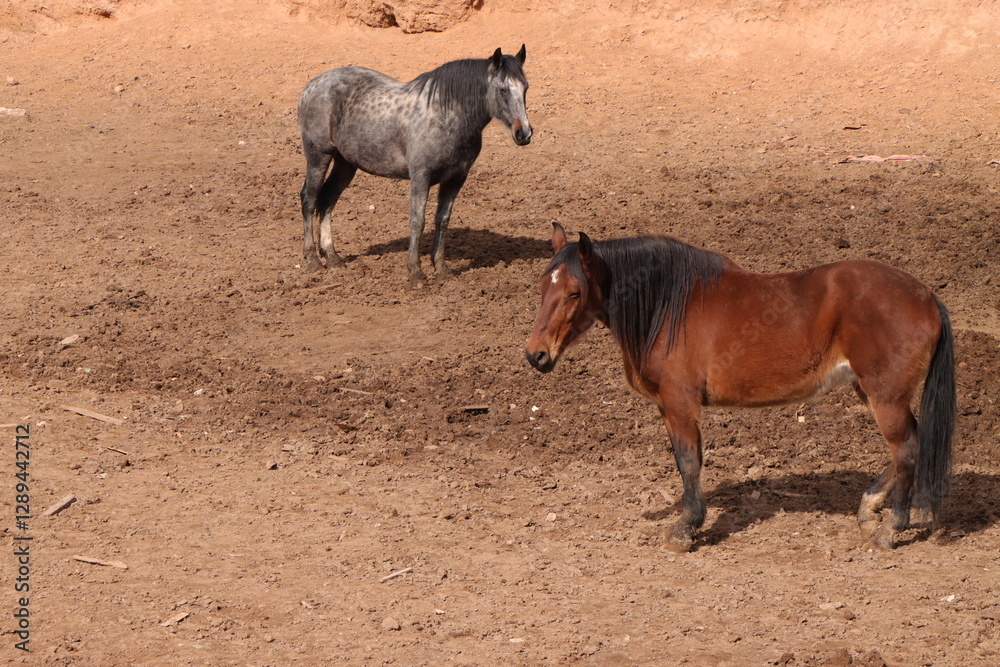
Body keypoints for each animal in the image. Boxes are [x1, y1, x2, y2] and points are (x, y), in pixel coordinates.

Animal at [297, 46, 532, 287]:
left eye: (525, 87)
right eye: (502, 89)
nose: (523, 133)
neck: (447, 115)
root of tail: (312, 85)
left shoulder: (455, 179)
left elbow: (442, 220)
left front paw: (441, 269)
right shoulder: (421, 177)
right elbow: (418, 221)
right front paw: (416, 273)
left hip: (346, 165)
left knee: (327, 201)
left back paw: (332, 257)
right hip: (319, 157)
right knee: (309, 199)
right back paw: (313, 260)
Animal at [525, 223, 956, 553]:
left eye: (574, 292)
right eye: (543, 287)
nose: (536, 354)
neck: (668, 307)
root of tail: (928, 297)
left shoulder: (680, 403)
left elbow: (688, 462)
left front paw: (686, 528)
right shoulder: (667, 407)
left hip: (886, 398)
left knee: (907, 451)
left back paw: (891, 528)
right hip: (872, 393)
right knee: (909, 446)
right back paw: (869, 509)